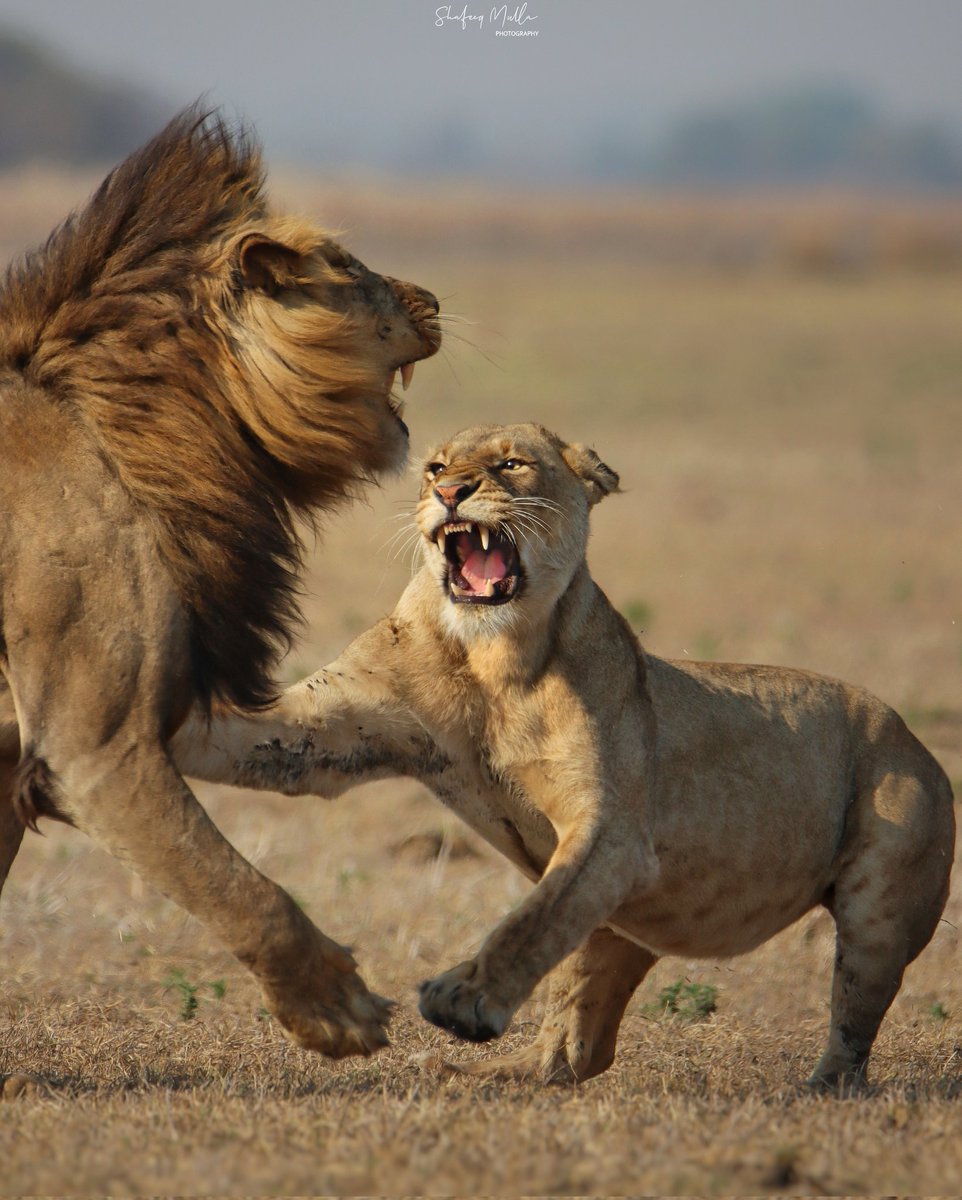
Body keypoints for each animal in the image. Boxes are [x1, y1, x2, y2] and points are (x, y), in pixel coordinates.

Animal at [172, 421, 954, 1088]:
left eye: (511, 464)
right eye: (434, 467)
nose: (450, 494)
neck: (490, 658)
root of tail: (915, 739)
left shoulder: (609, 832)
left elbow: (530, 921)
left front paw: (464, 998)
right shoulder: (333, 728)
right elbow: (249, 735)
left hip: (880, 904)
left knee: (852, 1021)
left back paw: (822, 1087)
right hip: (617, 929)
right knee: (579, 1048)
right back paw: (479, 1071)